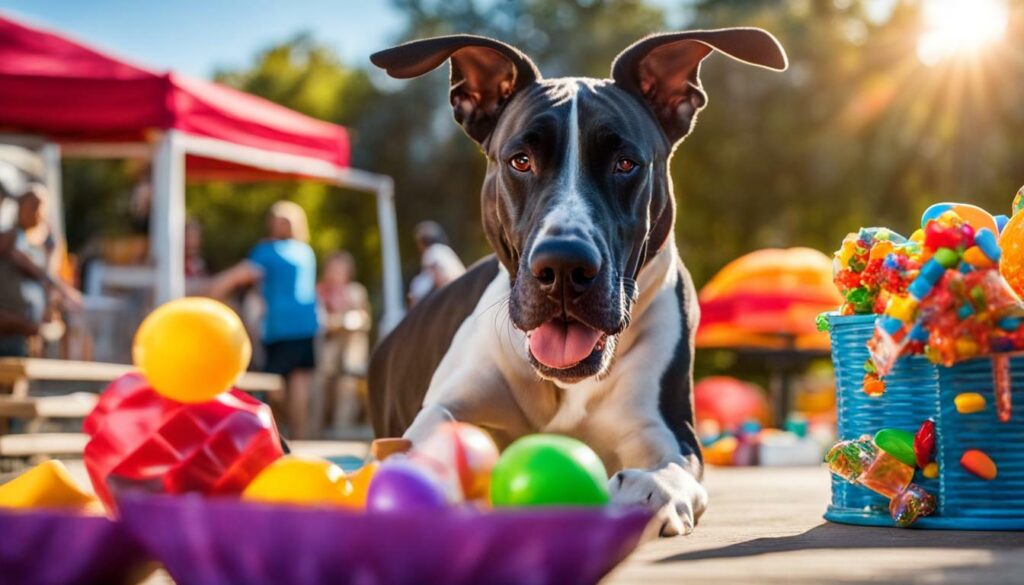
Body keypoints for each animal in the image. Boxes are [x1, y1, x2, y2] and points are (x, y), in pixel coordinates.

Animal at [366, 29, 782, 536]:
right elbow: (432, 437)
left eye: (626, 163)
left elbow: (669, 472)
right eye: (520, 161)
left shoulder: (668, 432)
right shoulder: (447, 405)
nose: (563, 266)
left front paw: (646, 491)